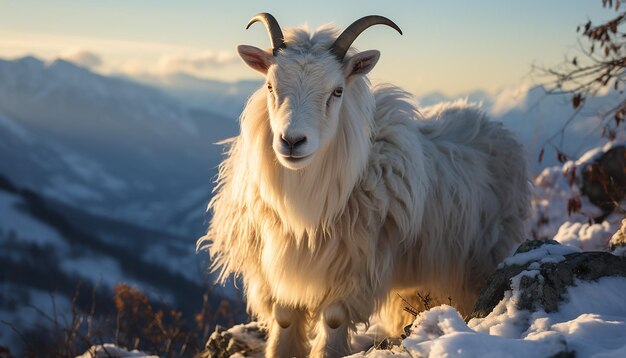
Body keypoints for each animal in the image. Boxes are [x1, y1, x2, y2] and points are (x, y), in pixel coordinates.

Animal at [199, 12, 528, 356]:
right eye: (269, 85)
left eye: (337, 91)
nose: (292, 141)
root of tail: (489, 122)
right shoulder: (275, 270)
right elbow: (285, 317)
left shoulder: (353, 270)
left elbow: (332, 319)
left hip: (476, 261)